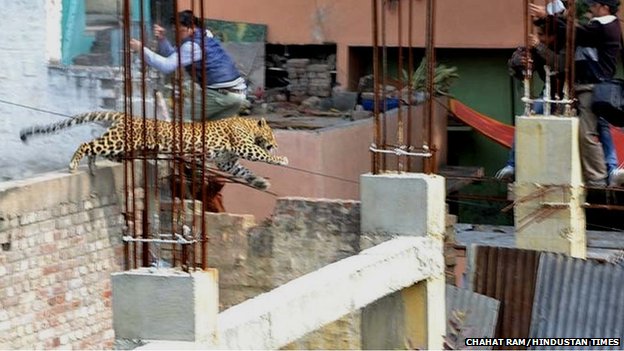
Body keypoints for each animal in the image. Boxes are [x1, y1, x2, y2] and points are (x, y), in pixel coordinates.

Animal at [20, 112, 288, 190]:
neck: (248, 125)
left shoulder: (227, 162)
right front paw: (281, 158)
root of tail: (125, 115)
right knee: (88, 144)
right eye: (273, 136)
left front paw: (260, 182)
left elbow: (244, 171)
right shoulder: (244, 146)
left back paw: (94, 166)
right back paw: (74, 164)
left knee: (97, 147)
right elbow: (263, 156)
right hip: (119, 140)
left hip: (120, 143)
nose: (276, 143)